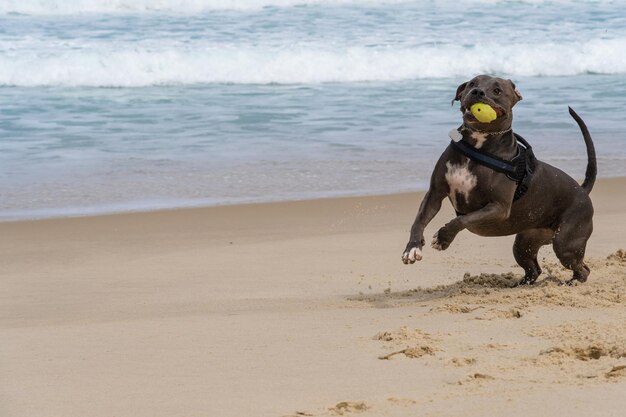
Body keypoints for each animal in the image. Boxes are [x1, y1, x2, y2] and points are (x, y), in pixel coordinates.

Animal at [400, 74, 596, 286]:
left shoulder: (498, 208)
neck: (478, 144)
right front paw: (412, 248)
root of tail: (582, 190)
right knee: (534, 269)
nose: (477, 92)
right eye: (472, 83)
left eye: (497, 90)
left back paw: (573, 282)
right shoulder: (435, 193)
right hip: (525, 242)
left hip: (565, 242)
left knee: (582, 268)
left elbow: (462, 219)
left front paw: (444, 238)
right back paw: (520, 285)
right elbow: (419, 220)